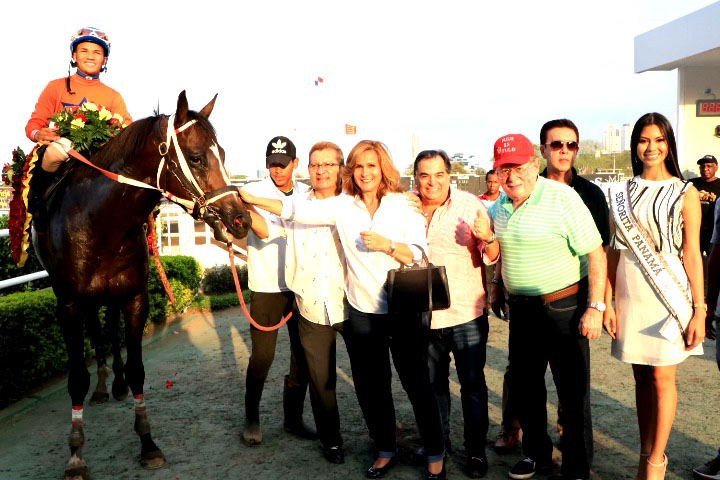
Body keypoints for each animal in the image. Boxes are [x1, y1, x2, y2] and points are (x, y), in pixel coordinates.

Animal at [32, 91, 252, 480]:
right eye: (196, 157)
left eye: (223, 155)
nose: (239, 218)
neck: (99, 223)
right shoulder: (68, 305)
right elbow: (76, 377)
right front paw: (76, 455)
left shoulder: (136, 297)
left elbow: (137, 369)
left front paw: (148, 443)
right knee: (97, 333)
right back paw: (103, 385)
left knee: (109, 328)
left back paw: (115, 382)